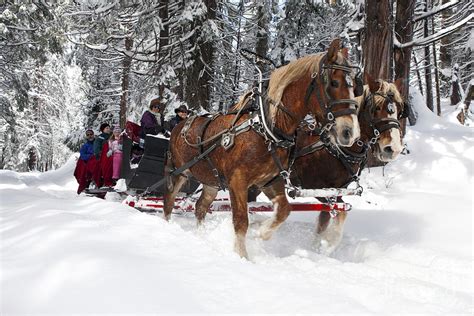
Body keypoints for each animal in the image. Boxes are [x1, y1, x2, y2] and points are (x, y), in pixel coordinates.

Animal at [165, 38, 362, 258]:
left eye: (355, 87)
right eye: (334, 83)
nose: (350, 132)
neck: (268, 129)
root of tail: (179, 127)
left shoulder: (269, 181)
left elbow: (284, 210)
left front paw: (262, 232)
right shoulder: (237, 182)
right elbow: (241, 221)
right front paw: (242, 255)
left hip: (211, 182)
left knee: (200, 207)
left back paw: (201, 235)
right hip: (179, 173)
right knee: (169, 202)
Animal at [292, 76, 404, 254]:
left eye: (399, 111)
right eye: (377, 108)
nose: (393, 149)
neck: (334, 149)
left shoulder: (336, 190)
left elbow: (325, 221)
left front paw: (318, 248)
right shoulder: (315, 189)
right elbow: (339, 213)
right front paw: (329, 245)